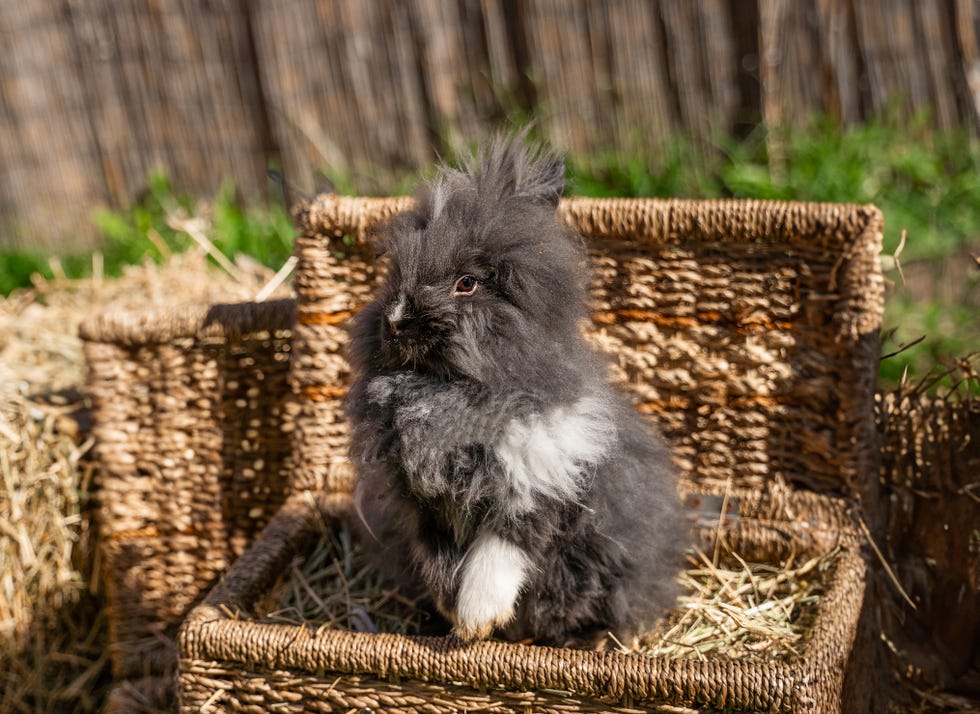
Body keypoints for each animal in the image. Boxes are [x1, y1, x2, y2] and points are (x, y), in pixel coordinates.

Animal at [348, 132, 684, 644]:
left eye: (467, 283)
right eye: (395, 274)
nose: (395, 322)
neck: (446, 392)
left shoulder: (536, 486)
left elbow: (499, 554)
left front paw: (476, 618)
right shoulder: (423, 507)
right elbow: (437, 559)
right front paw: (450, 612)